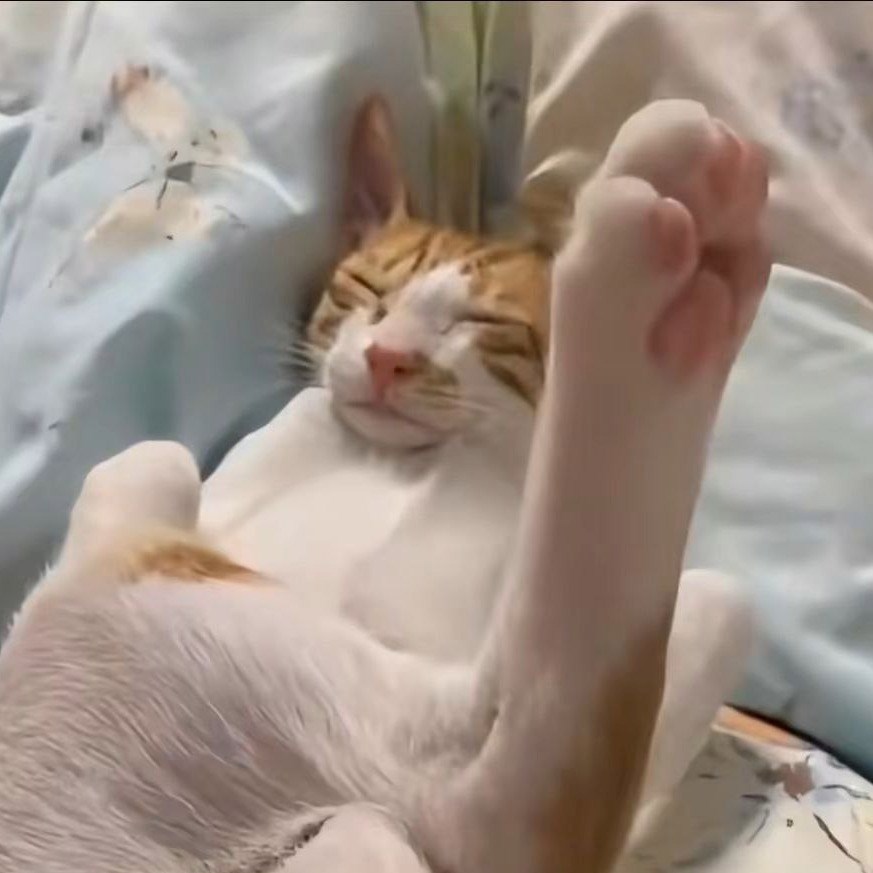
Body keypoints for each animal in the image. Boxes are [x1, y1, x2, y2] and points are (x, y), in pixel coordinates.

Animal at [0, 98, 770, 873]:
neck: (389, 457)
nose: (387, 357)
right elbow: (153, 456)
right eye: (371, 291)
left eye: (481, 321)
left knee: (515, 780)